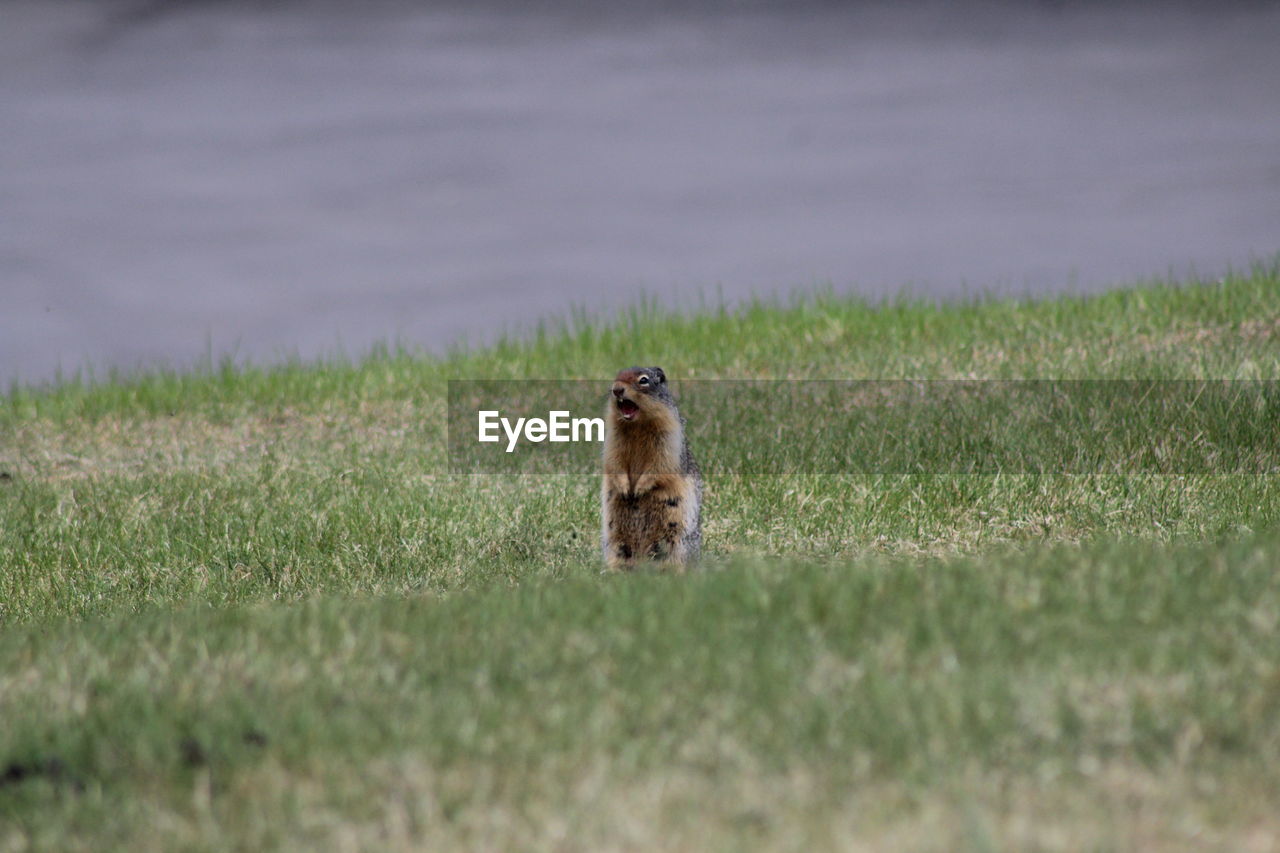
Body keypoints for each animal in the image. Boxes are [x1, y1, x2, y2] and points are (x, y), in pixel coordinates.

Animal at [599, 363, 701, 568]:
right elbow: (614, 462)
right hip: (617, 542)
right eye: (617, 376)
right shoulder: (613, 439)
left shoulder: (668, 437)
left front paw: (639, 489)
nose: (616, 389)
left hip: (676, 538)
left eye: (643, 380)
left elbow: (660, 464)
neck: (636, 426)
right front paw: (625, 488)